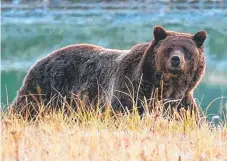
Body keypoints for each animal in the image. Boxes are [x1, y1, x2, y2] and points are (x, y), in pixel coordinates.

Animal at [12, 26, 207, 117]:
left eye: (186, 49)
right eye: (169, 48)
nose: (176, 60)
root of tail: (42, 59)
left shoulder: (181, 102)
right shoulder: (129, 91)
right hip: (44, 89)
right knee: (25, 109)